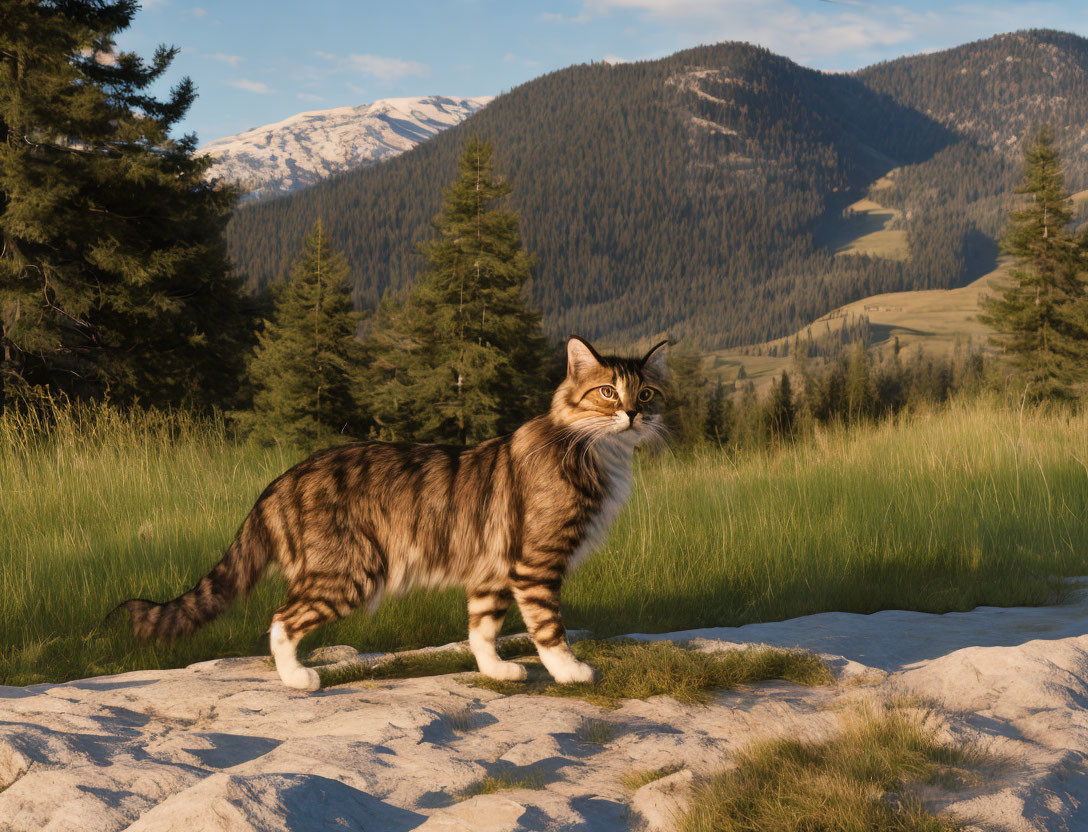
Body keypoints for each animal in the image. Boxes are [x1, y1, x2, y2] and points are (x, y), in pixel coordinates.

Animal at [123, 334, 665, 687]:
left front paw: (495, 670)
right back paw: (298, 677)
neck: (598, 453)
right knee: (281, 618)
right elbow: (549, 628)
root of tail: (282, 479)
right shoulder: (537, 562)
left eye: (646, 393)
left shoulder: (492, 568)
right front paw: (571, 672)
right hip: (351, 571)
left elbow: (482, 629)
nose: (633, 413)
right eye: (607, 392)